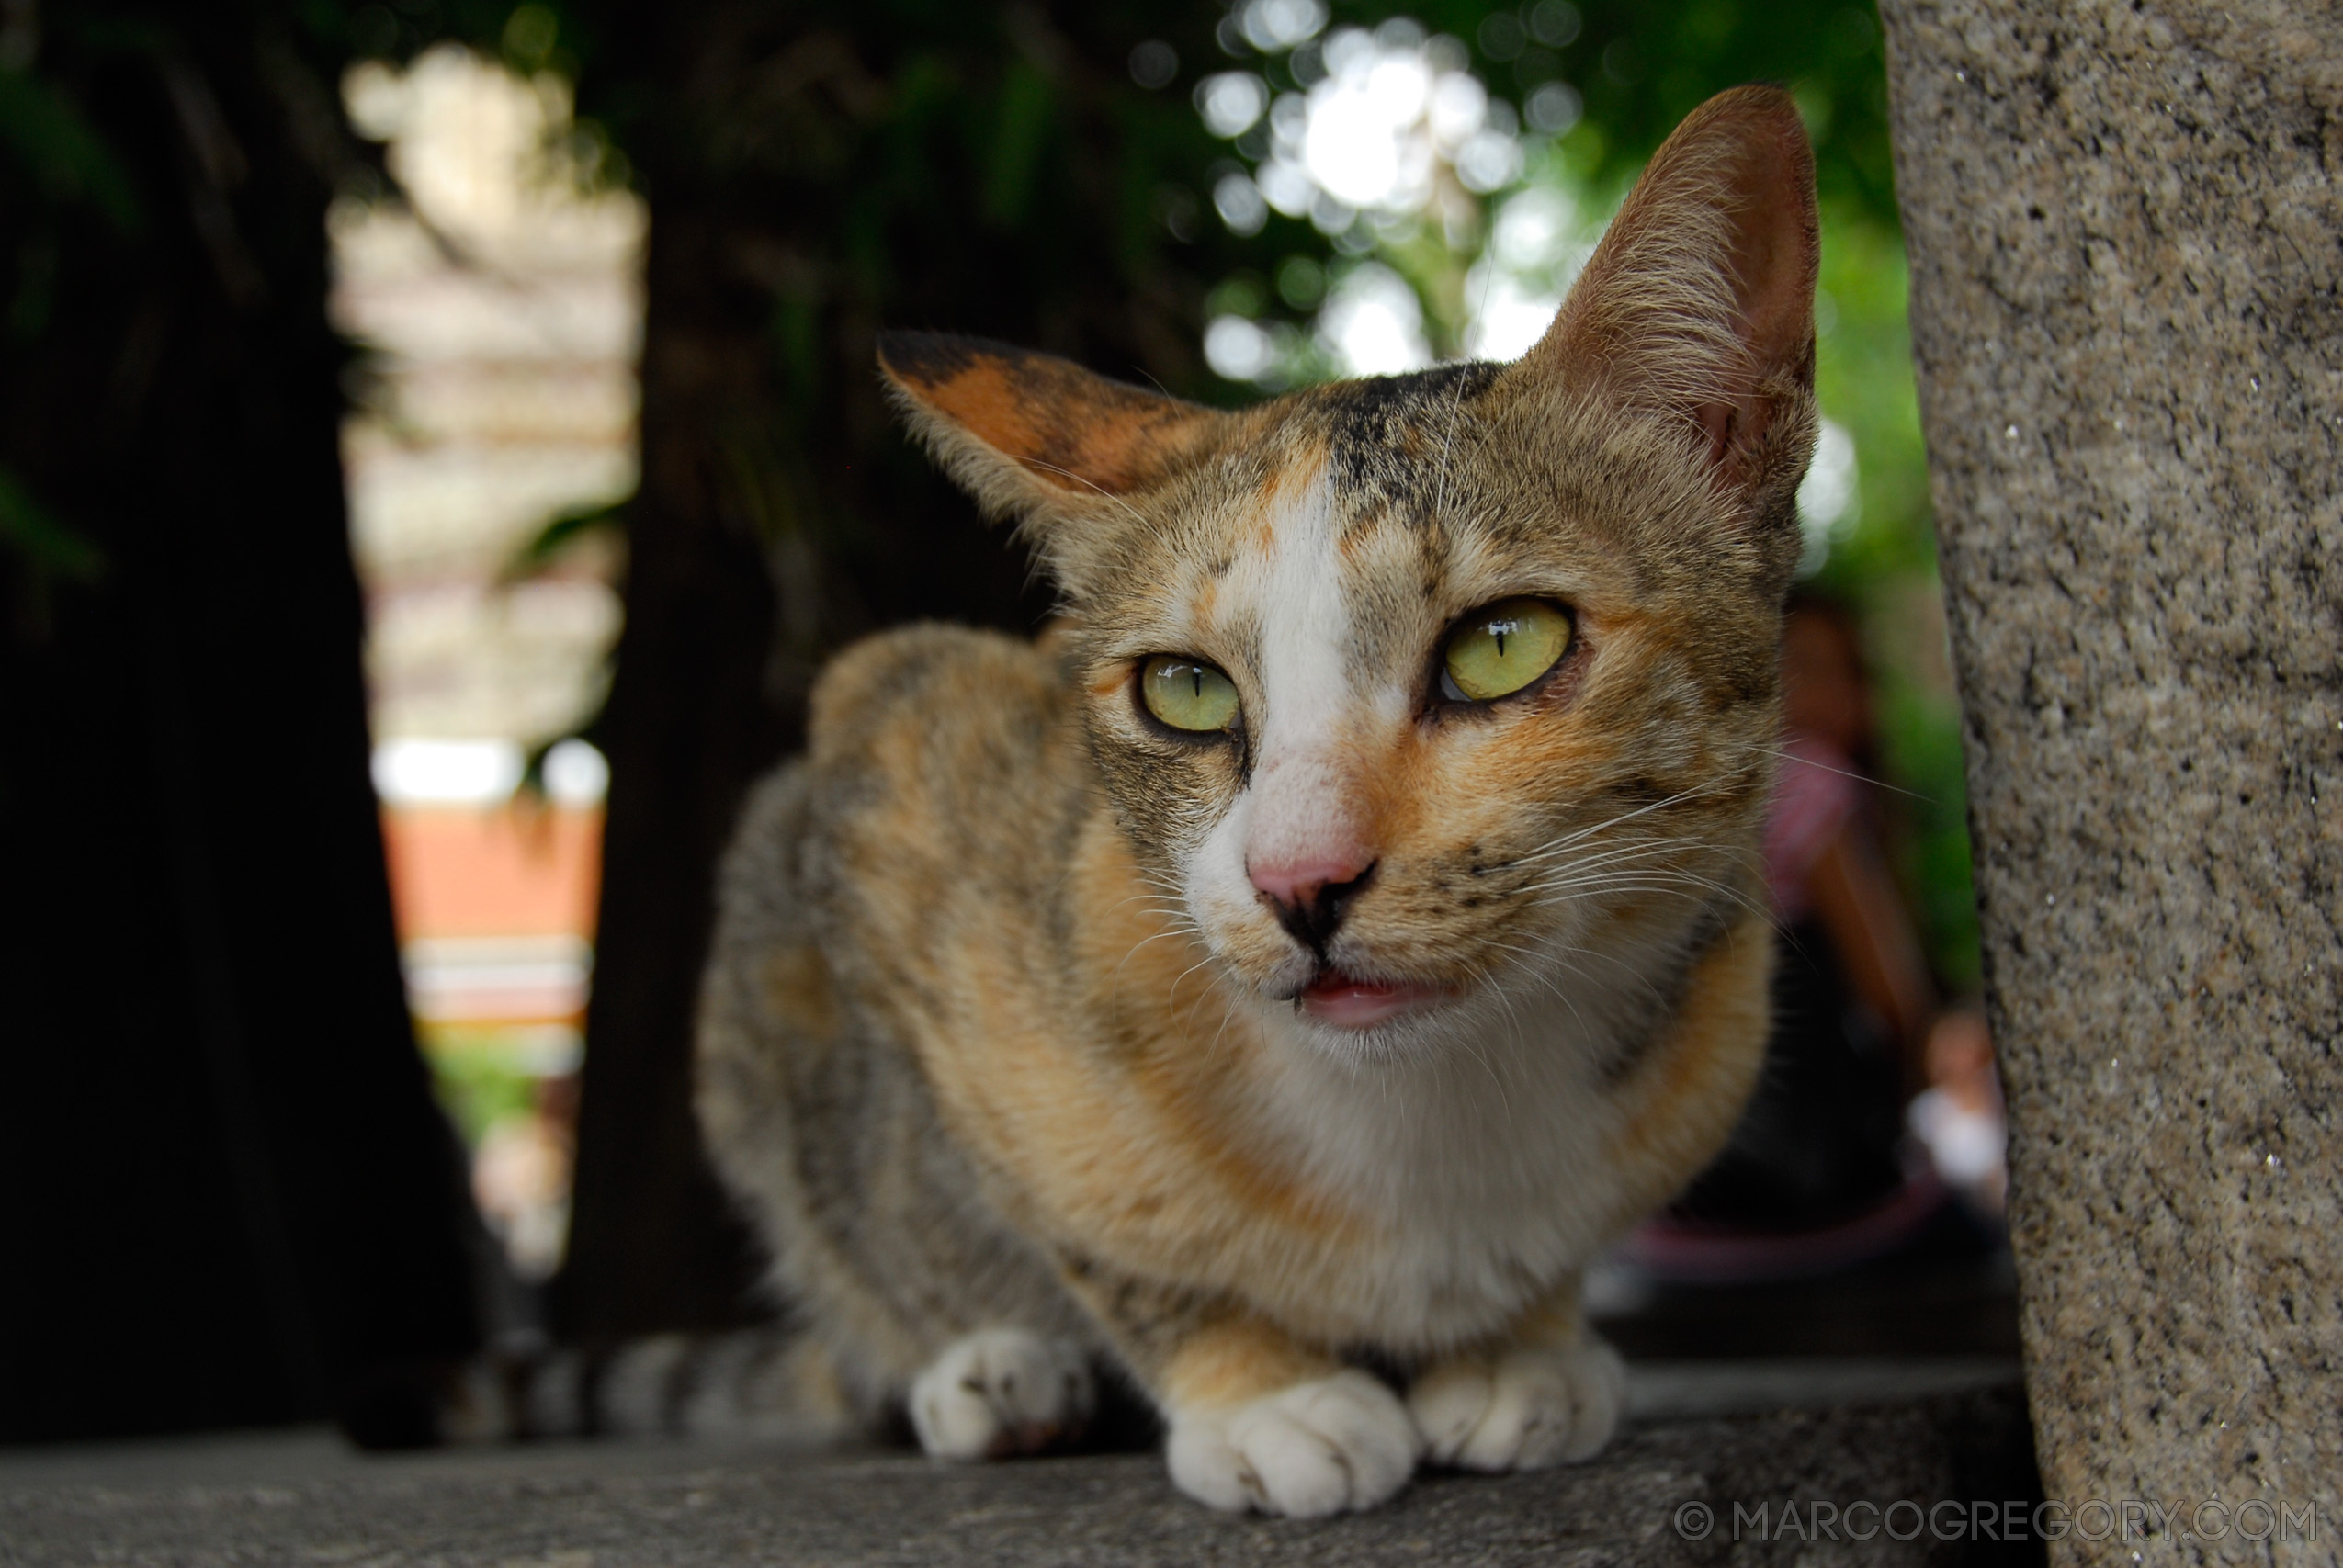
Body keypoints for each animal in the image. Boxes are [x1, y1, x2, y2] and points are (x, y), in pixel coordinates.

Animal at [684, 88, 1817, 1518]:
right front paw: (1263, 1391)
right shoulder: (891, 737)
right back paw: (990, 1373)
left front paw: (1524, 1344)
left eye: (1504, 644)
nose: (1298, 882)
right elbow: (1086, 1225)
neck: (1423, 1115)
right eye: (1183, 689)